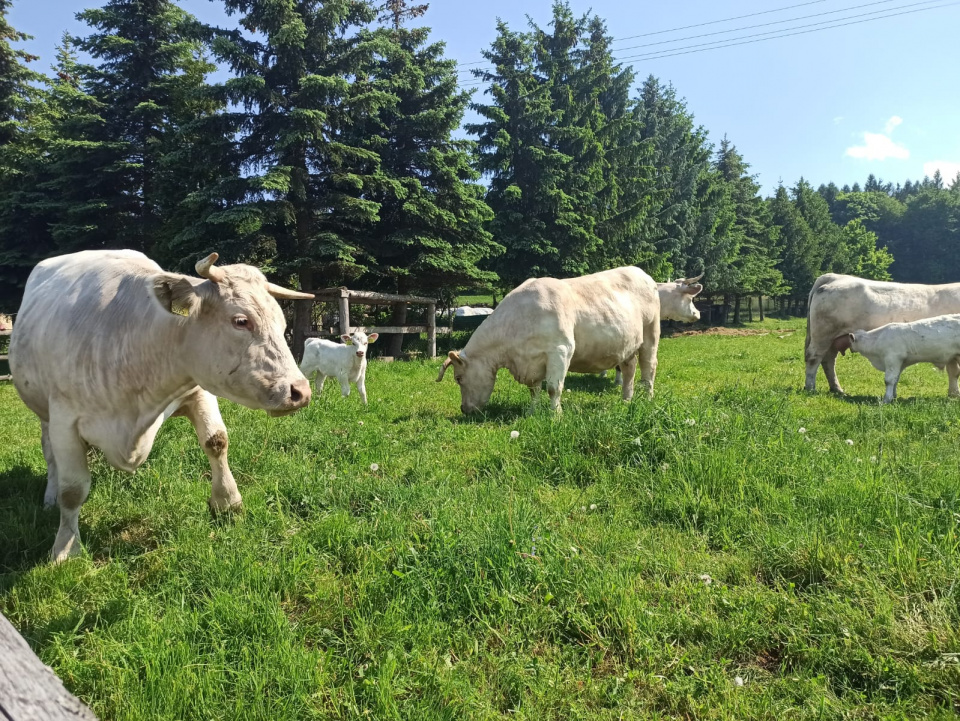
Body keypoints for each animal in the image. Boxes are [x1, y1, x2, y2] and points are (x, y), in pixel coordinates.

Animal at [8, 250, 316, 560]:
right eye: (241, 321)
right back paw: (49, 497)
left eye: (282, 324)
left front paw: (228, 503)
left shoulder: (198, 390)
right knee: (50, 454)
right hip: (44, 414)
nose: (300, 391)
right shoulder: (65, 420)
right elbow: (72, 490)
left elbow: (216, 442)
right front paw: (66, 548)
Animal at [438, 266, 664, 414]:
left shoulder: (560, 350)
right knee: (629, 370)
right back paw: (626, 400)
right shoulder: (531, 361)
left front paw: (556, 415)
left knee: (649, 368)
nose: (464, 409)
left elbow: (554, 388)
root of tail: (642, 273)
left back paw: (647, 399)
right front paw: (532, 411)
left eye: (458, 378)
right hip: (627, 345)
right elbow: (533, 390)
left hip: (651, 334)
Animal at [808, 272, 960, 394]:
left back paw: (837, 388)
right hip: (822, 335)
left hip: (834, 339)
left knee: (828, 361)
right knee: (813, 358)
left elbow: (953, 372)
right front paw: (954, 394)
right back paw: (810, 388)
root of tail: (835, 277)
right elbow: (954, 371)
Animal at [832, 316, 960, 404]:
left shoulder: (892, 359)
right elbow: (895, 379)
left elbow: (888, 380)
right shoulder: (900, 363)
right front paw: (893, 396)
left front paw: (886, 399)